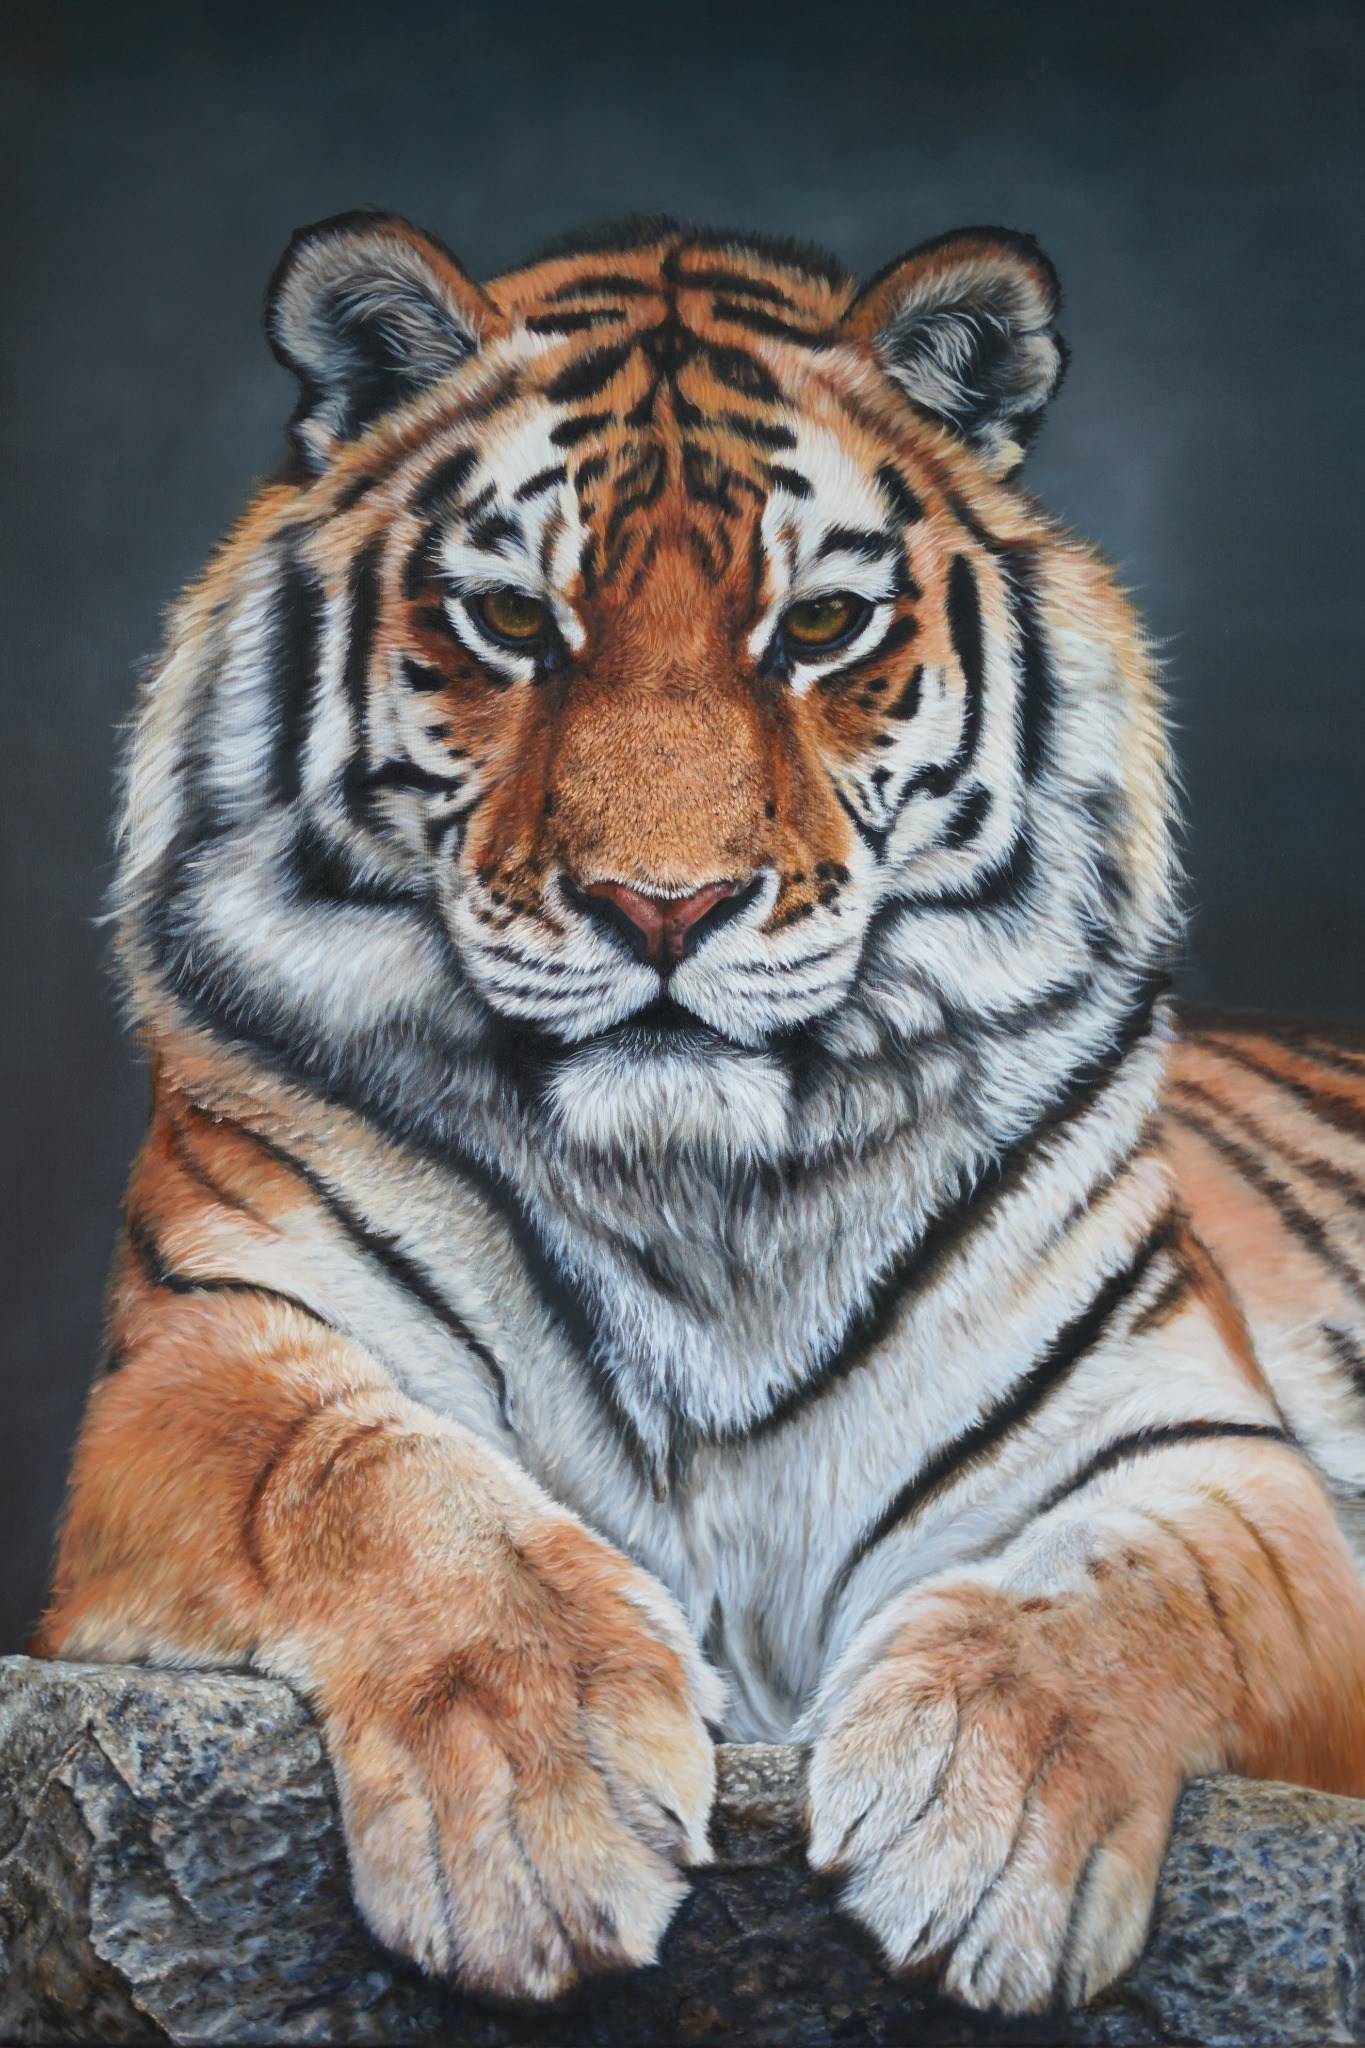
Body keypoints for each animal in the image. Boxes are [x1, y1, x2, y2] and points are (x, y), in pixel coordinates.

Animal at [35, 207, 1365, 2020]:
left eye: (818, 627)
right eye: (512, 619)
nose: (662, 908)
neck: (700, 1192)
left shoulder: (1212, 1456)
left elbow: (1129, 1590)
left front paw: (979, 1829)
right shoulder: (196, 1358)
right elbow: (374, 1479)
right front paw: (541, 1809)